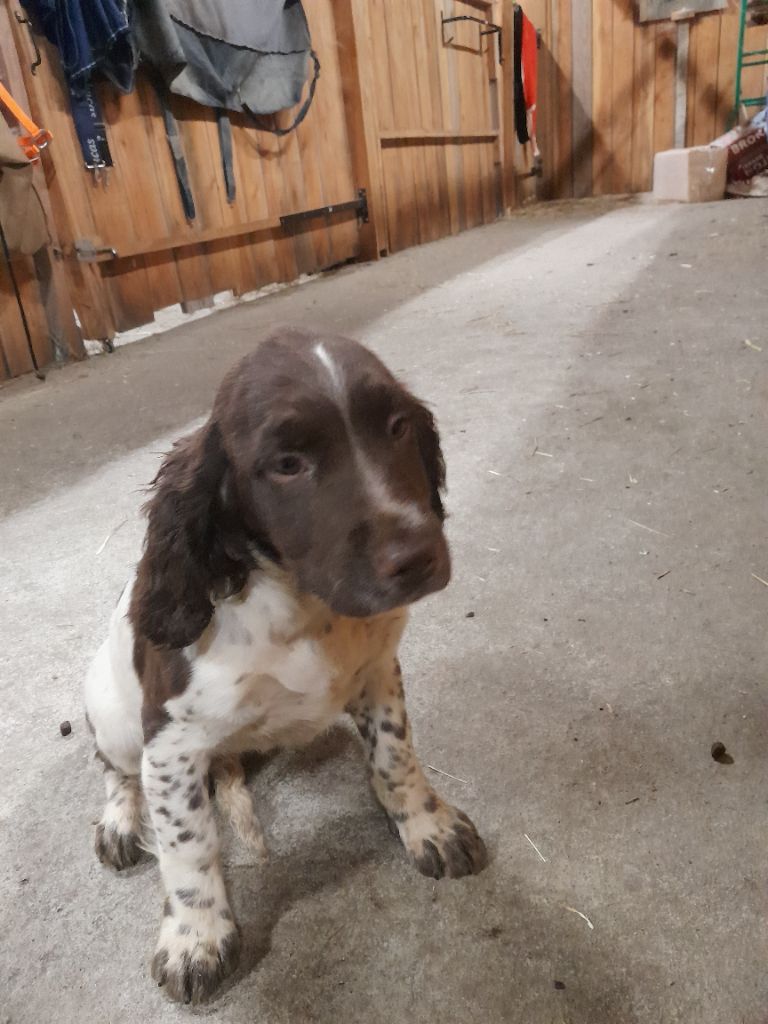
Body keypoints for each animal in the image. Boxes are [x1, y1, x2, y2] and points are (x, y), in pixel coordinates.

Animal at [83, 327, 489, 999]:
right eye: (288, 464)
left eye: (398, 426)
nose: (418, 555)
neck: (305, 606)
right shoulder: (171, 742)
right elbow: (188, 844)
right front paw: (196, 938)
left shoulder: (378, 672)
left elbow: (395, 754)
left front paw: (425, 825)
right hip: (111, 715)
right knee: (116, 772)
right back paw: (118, 821)